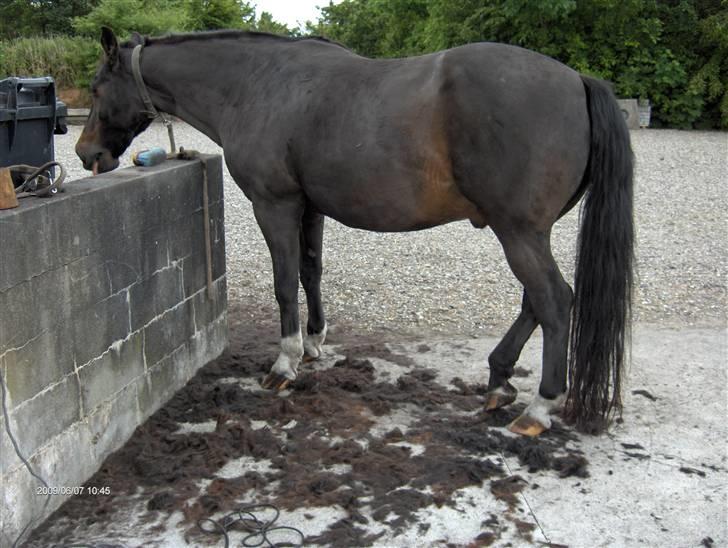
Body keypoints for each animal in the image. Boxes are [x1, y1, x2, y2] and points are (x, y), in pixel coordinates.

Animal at [75, 27, 632, 434]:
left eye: (99, 88)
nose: (85, 154)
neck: (257, 84)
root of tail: (576, 80)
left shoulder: (274, 205)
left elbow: (284, 284)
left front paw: (285, 363)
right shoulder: (310, 208)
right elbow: (310, 272)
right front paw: (315, 342)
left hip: (517, 231)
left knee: (555, 300)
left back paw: (538, 408)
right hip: (527, 232)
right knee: (536, 302)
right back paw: (498, 380)